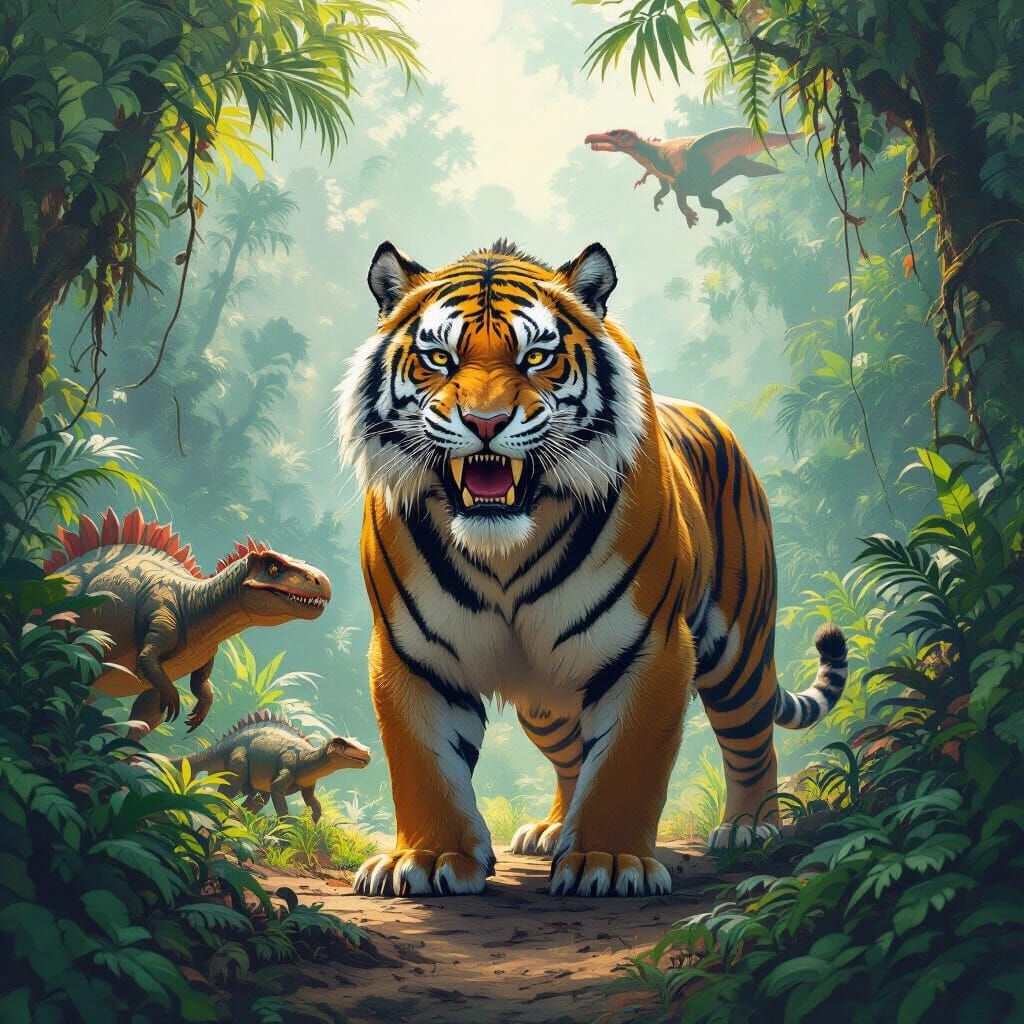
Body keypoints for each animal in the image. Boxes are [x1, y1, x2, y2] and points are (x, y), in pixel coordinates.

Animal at [336, 239, 847, 898]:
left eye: (535, 357)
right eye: (439, 359)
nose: (485, 423)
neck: (504, 552)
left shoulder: (653, 648)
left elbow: (626, 765)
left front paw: (608, 861)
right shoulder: (411, 656)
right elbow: (423, 763)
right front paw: (426, 858)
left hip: (739, 650)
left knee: (751, 739)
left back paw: (750, 828)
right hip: (545, 704)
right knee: (572, 756)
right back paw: (553, 830)